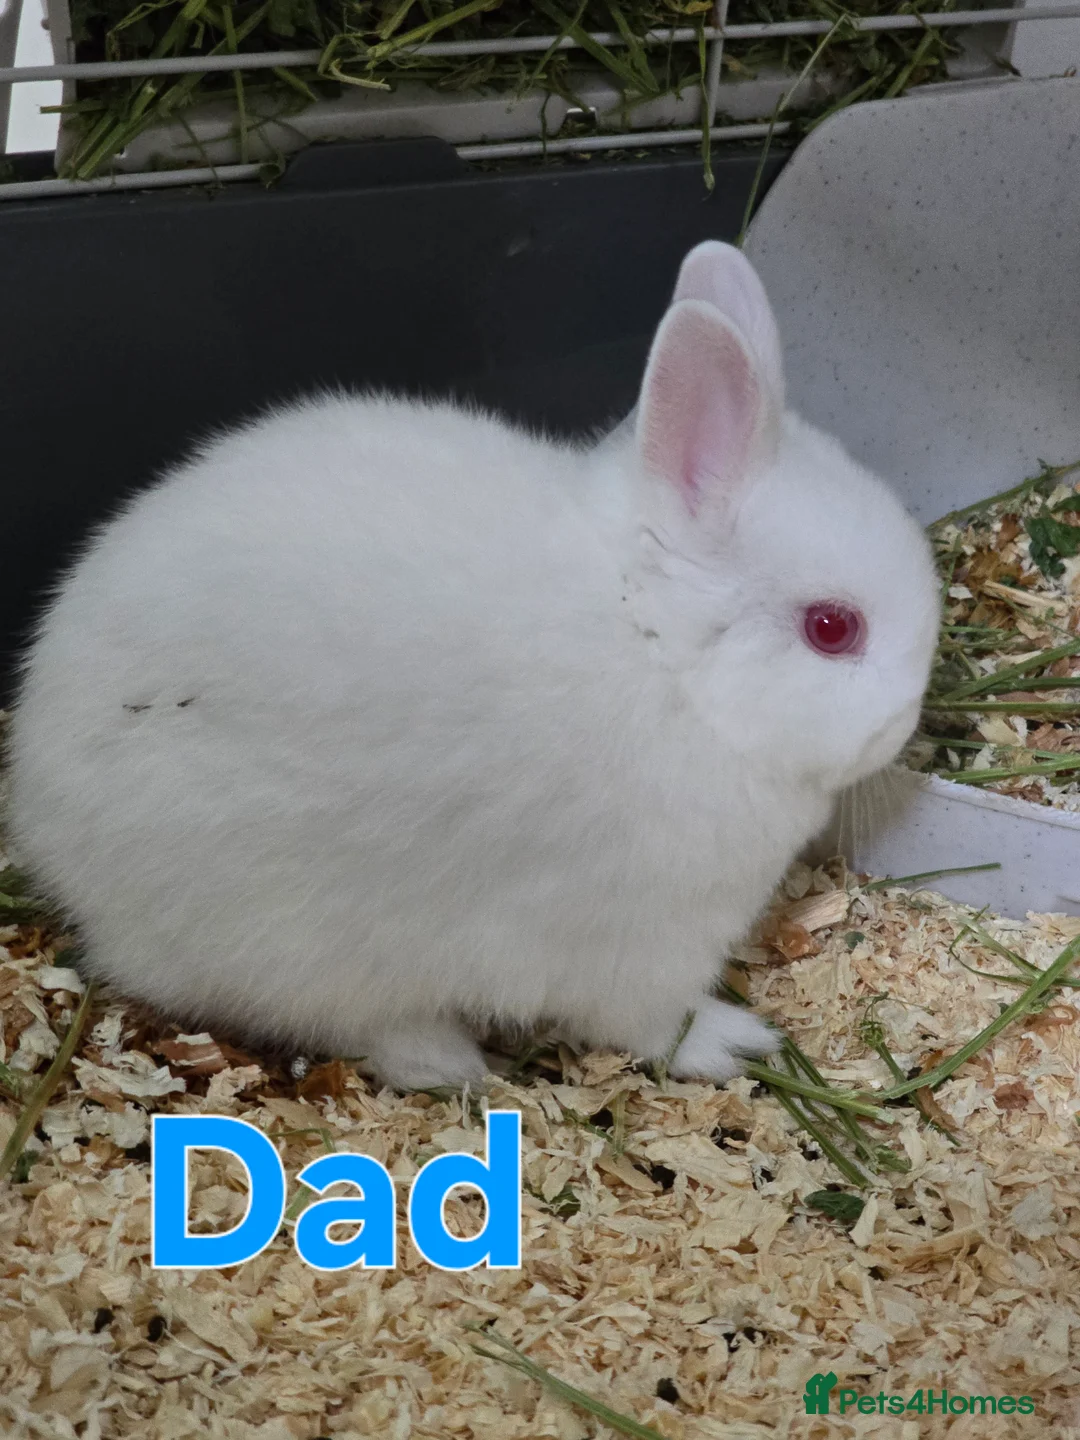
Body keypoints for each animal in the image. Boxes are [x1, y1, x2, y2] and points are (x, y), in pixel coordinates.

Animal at [7, 241, 940, 1092]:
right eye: (832, 628)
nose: (906, 721)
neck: (660, 656)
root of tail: (45, 830)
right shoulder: (634, 944)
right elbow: (650, 1022)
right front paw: (735, 1044)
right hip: (293, 944)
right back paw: (455, 1065)